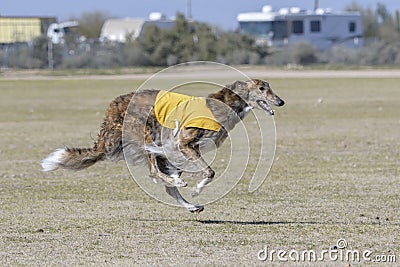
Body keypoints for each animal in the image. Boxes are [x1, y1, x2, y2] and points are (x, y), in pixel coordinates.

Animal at [41, 79, 284, 214]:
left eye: (268, 88)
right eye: (262, 88)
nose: (281, 102)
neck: (225, 104)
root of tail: (111, 109)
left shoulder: (186, 148)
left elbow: (200, 171)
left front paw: (192, 190)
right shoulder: (185, 142)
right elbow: (209, 172)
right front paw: (195, 189)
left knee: (166, 182)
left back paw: (189, 203)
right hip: (146, 129)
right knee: (153, 171)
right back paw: (178, 183)